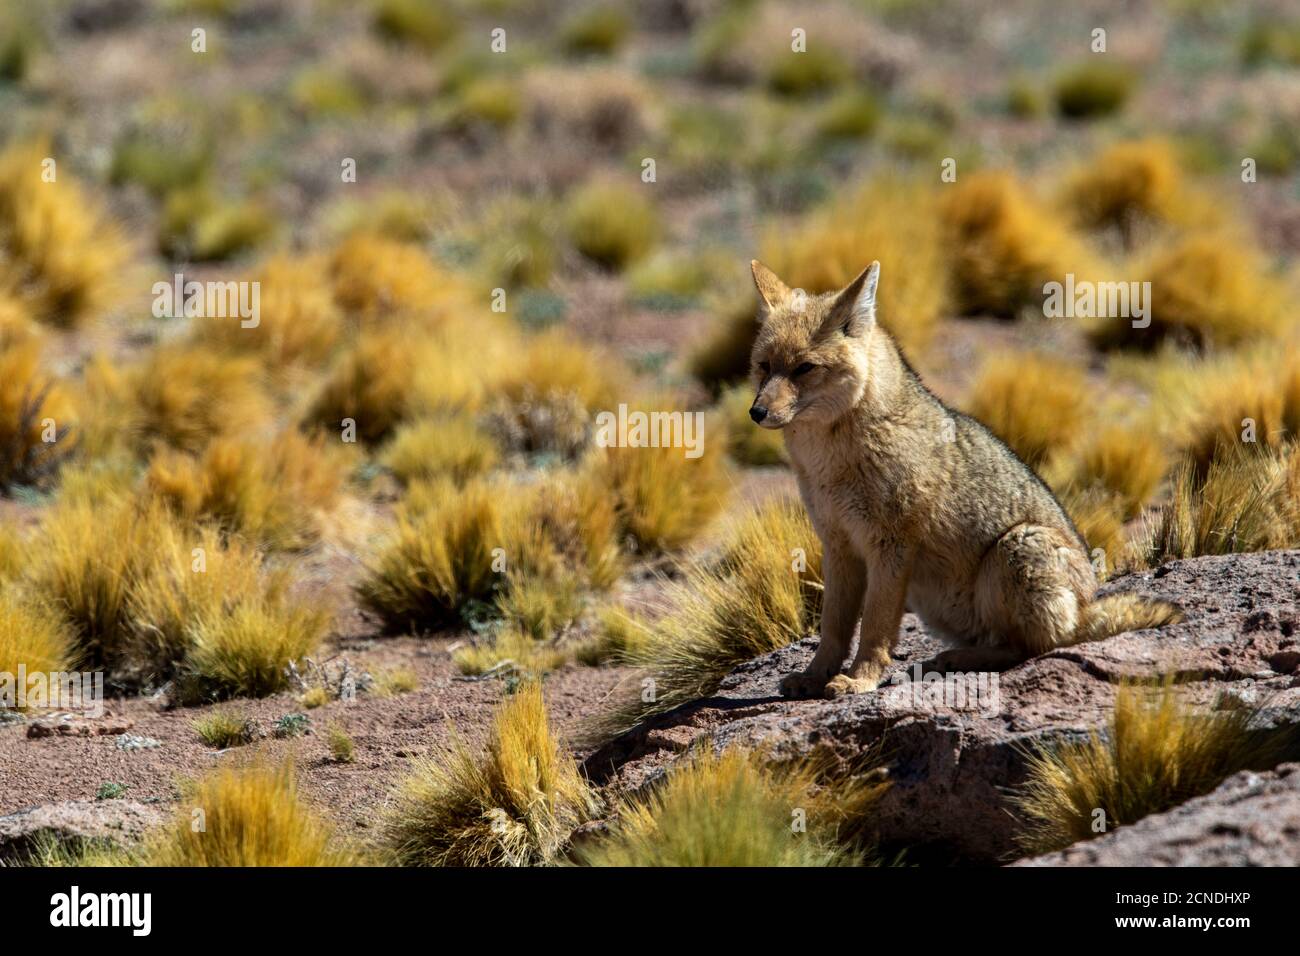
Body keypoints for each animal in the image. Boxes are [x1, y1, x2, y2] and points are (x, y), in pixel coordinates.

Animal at [748, 257, 1185, 697]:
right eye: (764, 366)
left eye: (804, 368)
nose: (756, 412)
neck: (828, 460)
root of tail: (1086, 605)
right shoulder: (838, 544)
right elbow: (833, 627)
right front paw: (814, 675)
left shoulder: (890, 543)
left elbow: (874, 625)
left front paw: (860, 679)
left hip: (1012, 547)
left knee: (1033, 646)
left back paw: (960, 660)